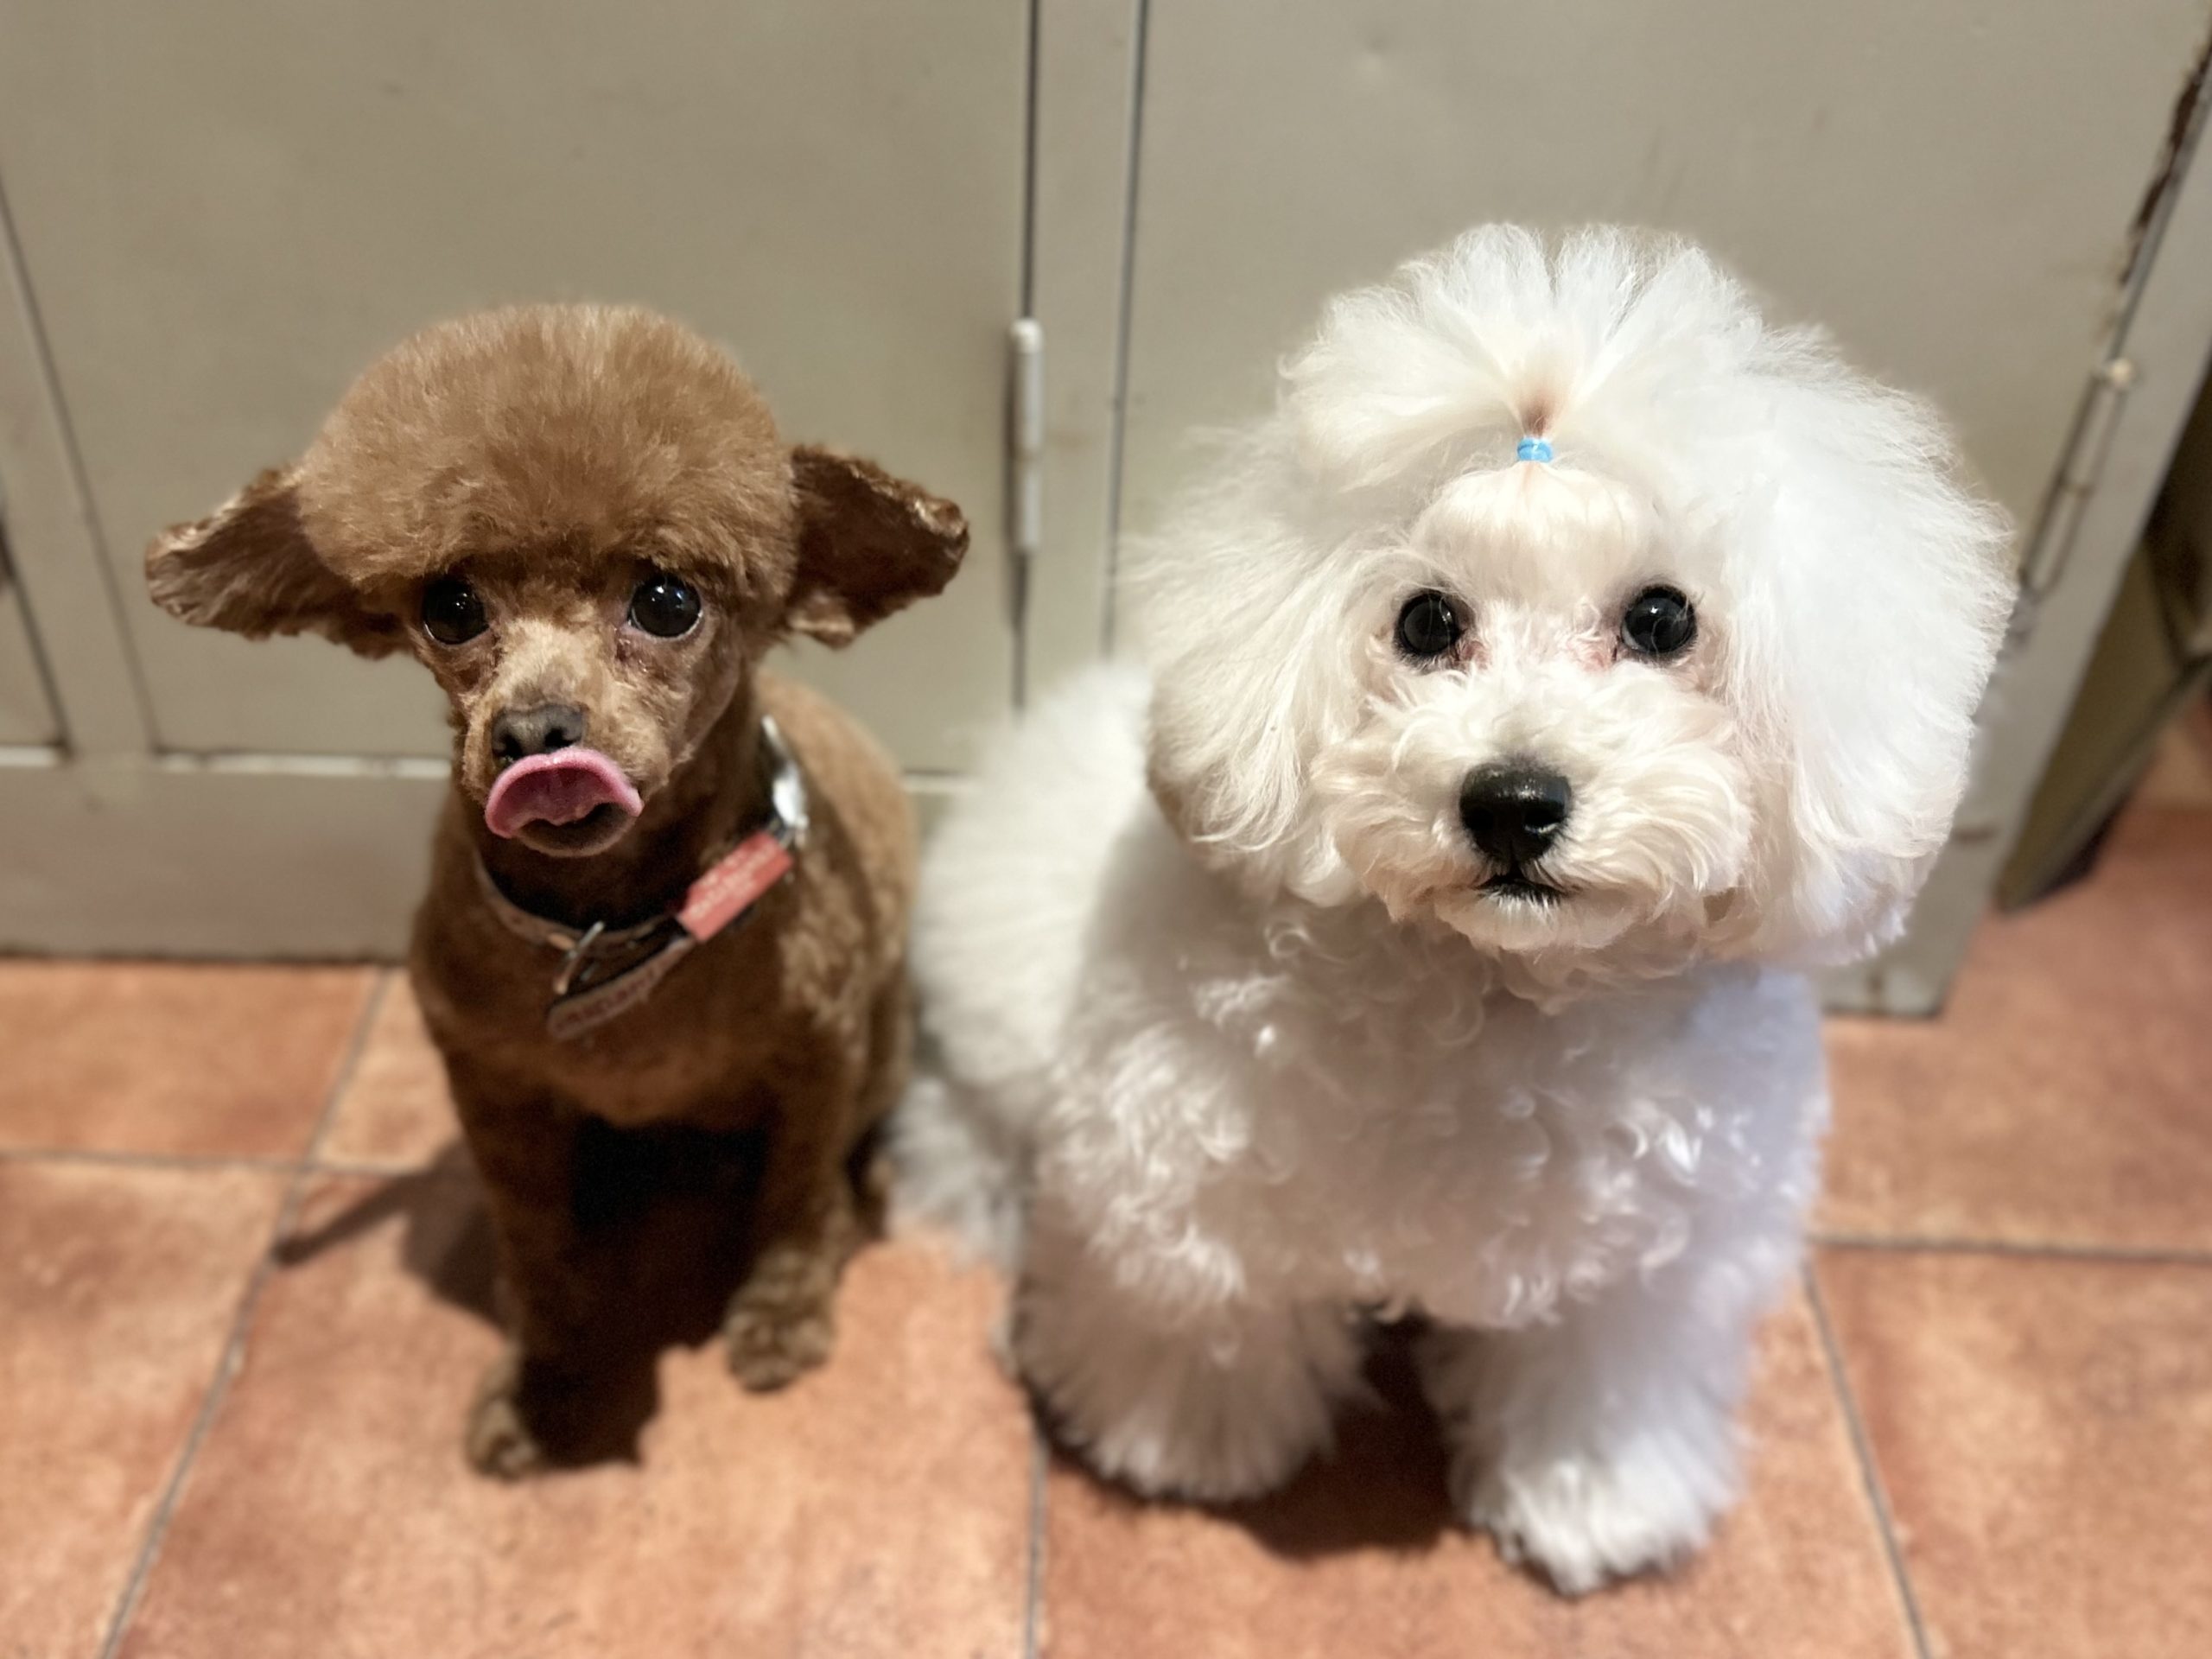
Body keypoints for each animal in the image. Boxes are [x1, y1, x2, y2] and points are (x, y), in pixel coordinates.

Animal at [147, 304, 967, 1473]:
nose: (536, 735)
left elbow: (796, 1195)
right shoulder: (490, 1086)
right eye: (449, 606)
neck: (618, 926)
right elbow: (534, 1247)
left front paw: (782, 1312)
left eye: (668, 599)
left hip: (882, 1045)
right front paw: (544, 1382)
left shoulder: (820, 1059)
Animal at [898, 227, 2010, 1591]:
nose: (1514, 803)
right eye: (1428, 621)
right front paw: (1186, 1437)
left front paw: (1597, 1500)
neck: (1498, 992)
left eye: (1662, 618)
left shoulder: (1651, 1264)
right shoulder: (1190, 1187)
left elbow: (1602, 1375)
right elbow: (1204, 1316)